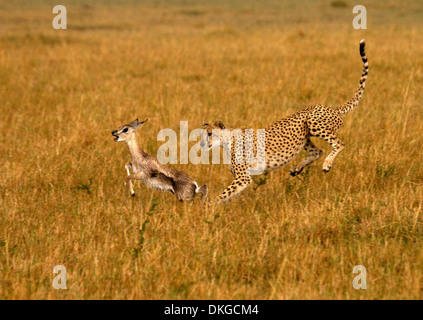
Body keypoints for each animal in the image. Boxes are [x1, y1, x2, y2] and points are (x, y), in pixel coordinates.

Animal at [200, 38, 370, 204]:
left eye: (210, 134)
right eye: (202, 135)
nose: (202, 144)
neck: (228, 141)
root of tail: (330, 107)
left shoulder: (243, 177)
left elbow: (221, 195)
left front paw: (207, 208)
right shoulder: (241, 177)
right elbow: (227, 196)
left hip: (313, 123)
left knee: (339, 144)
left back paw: (327, 164)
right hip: (304, 136)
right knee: (318, 151)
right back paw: (297, 168)